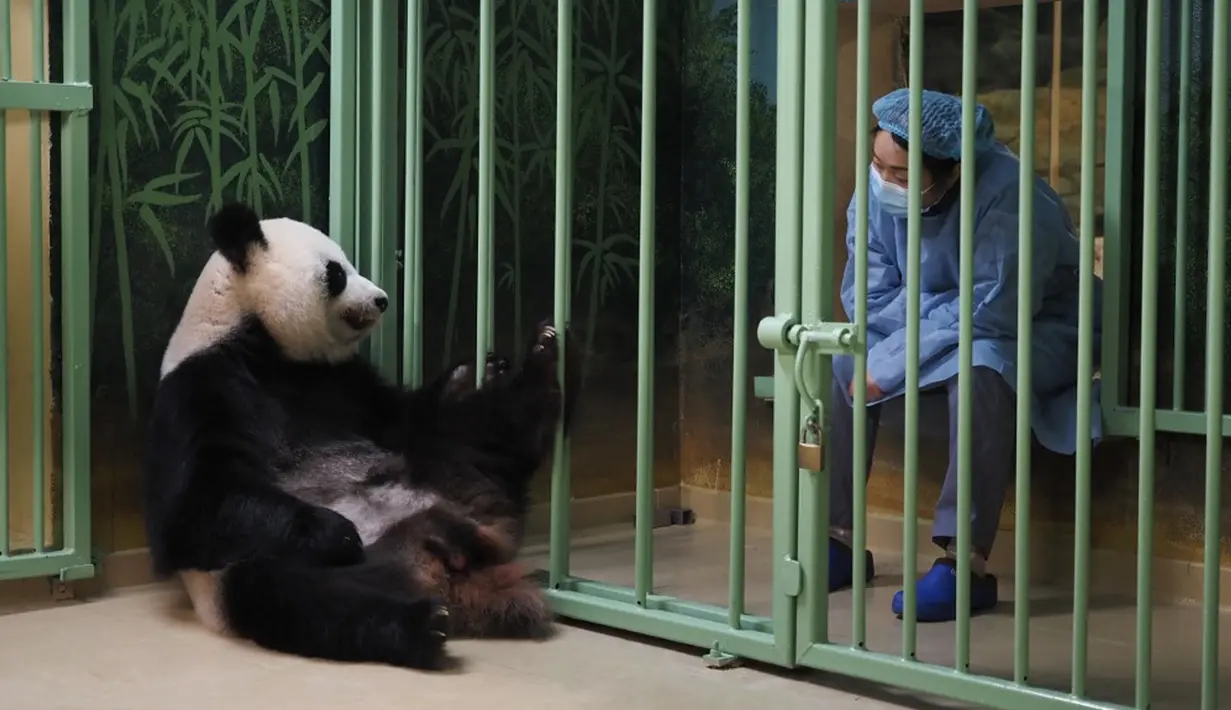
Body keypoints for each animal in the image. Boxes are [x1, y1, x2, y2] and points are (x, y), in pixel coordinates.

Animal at [143, 201, 580, 670]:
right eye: (336, 272)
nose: (382, 299)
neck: (261, 343)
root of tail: (436, 564)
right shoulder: (201, 388)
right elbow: (192, 509)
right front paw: (338, 531)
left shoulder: (340, 381)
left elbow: (403, 417)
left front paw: (472, 372)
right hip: (259, 570)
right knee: (305, 599)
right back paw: (420, 626)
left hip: (448, 470)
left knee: (486, 430)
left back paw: (546, 357)